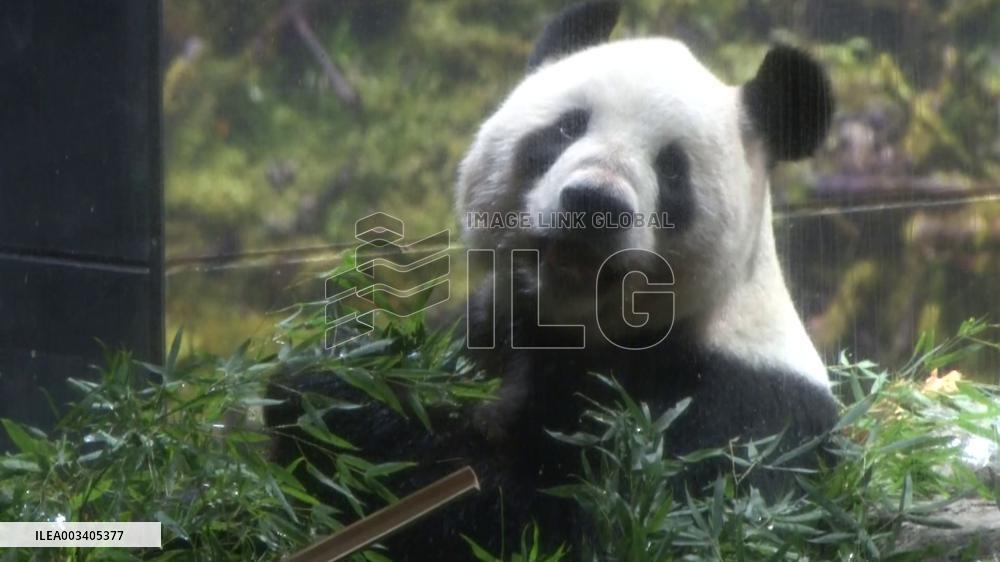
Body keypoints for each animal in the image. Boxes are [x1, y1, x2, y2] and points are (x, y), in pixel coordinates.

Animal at [267, 2, 839, 560]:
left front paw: (347, 397)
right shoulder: (492, 328)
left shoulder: (742, 410)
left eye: (672, 169)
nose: (594, 203)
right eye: (567, 128)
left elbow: (605, 529)